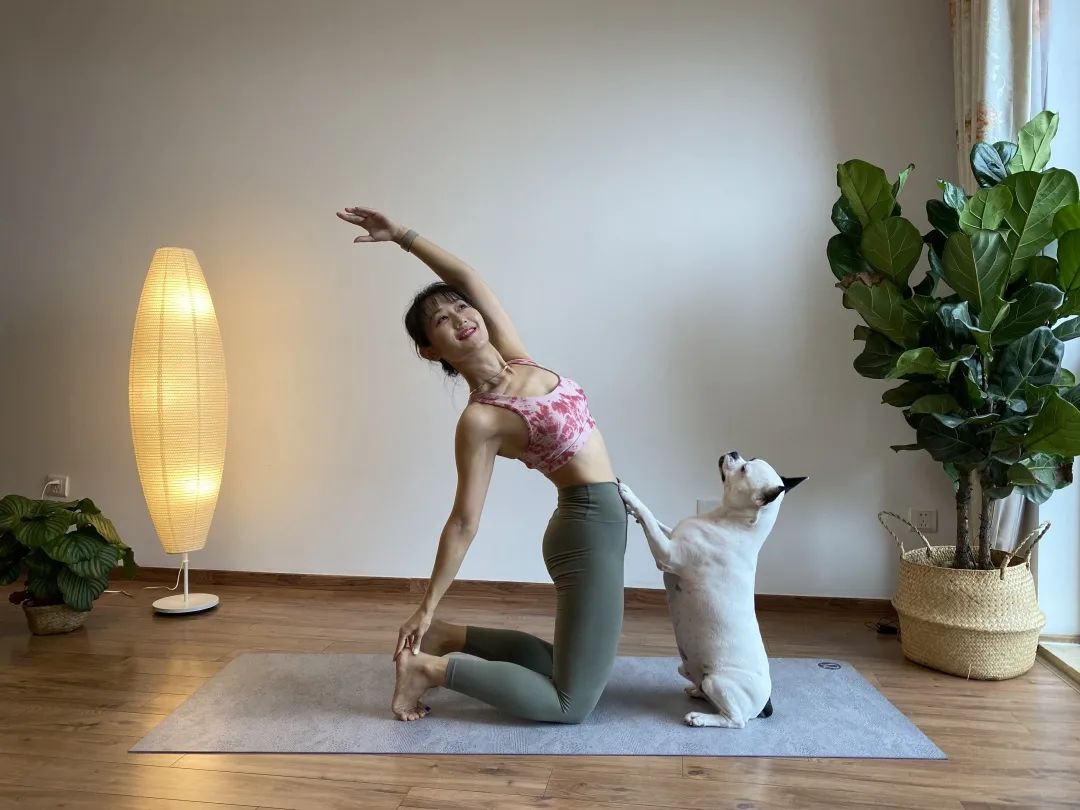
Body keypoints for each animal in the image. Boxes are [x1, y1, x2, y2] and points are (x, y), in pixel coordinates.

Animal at [618, 451, 805, 728]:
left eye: (745, 469)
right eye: (750, 459)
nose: (734, 452)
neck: (732, 522)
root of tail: (765, 702)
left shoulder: (667, 553)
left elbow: (650, 517)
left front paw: (630, 496)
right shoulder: (673, 536)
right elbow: (660, 523)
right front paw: (632, 508)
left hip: (719, 682)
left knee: (735, 720)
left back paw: (700, 718)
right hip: (692, 672)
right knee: (702, 687)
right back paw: (697, 693)